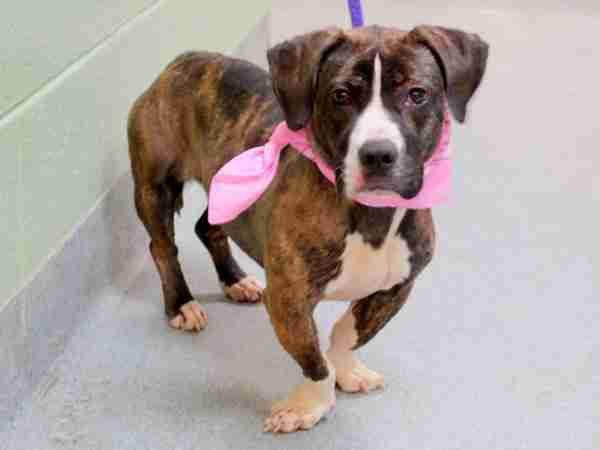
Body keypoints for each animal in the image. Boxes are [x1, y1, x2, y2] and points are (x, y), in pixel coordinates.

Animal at [126, 24, 488, 432]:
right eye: (340, 95)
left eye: (417, 94)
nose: (378, 154)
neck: (372, 217)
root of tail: (183, 60)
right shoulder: (289, 298)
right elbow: (312, 355)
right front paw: (309, 404)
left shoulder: (396, 288)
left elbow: (348, 332)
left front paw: (347, 369)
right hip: (154, 187)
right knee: (162, 247)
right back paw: (182, 304)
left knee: (210, 228)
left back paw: (235, 280)